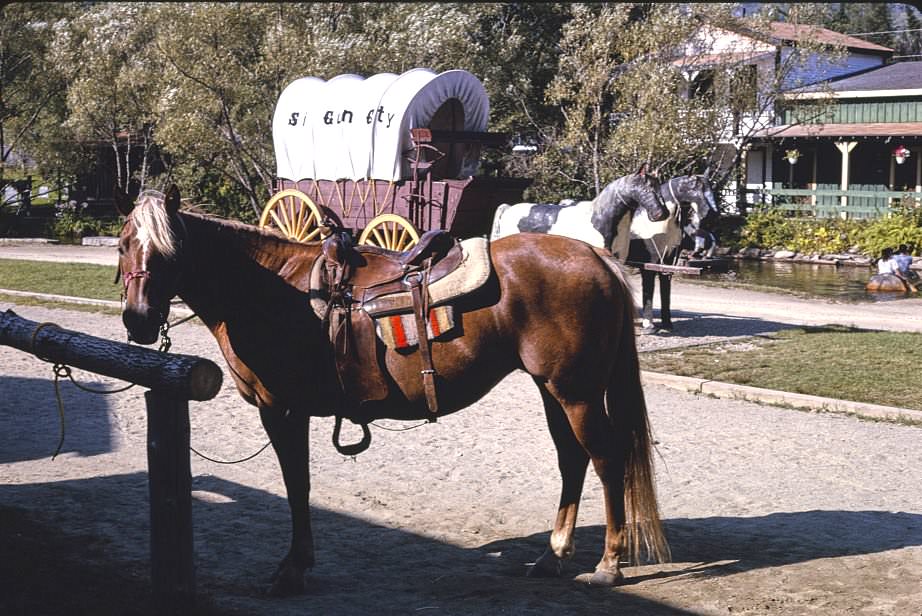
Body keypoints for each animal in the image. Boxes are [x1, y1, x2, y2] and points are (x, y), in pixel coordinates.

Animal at [115, 184, 668, 596]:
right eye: (123, 245)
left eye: (170, 251)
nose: (138, 319)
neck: (275, 289)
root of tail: (596, 257)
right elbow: (299, 484)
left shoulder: (282, 409)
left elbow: (297, 484)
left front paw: (293, 569)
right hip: (553, 389)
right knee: (572, 460)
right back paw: (552, 557)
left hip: (575, 392)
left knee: (606, 458)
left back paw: (609, 563)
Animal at [624, 174, 720, 332]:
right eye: (695, 188)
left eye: (711, 187)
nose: (712, 215)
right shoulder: (648, 266)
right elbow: (648, 293)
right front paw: (648, 325)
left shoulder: (667, 265)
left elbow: (665, 293)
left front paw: (667, 324)